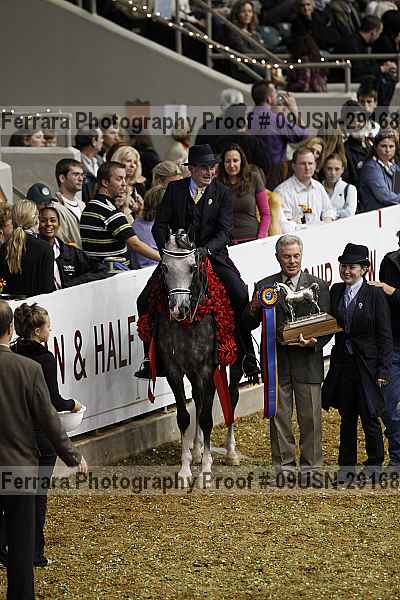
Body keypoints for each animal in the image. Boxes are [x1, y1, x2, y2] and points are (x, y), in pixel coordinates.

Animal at [155, 232, 243, 485]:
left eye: (193, 267)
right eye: (164, 267)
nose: (178, 309)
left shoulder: (206, 369)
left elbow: (206, 418)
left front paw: (205, 470)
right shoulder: (174, 370)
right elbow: (184, 416)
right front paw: (185, 469)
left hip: (235, 362)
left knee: (231, 396)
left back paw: (230, 452)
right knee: (198, 397)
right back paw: (196, 450)